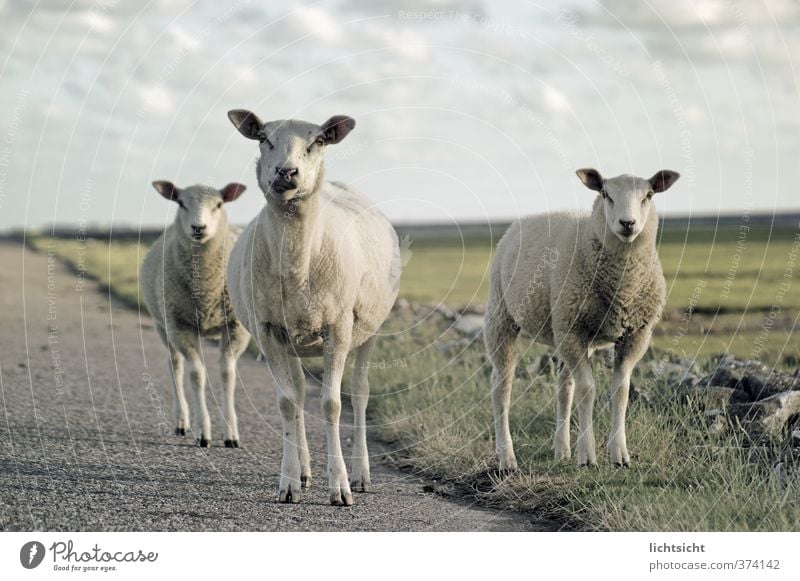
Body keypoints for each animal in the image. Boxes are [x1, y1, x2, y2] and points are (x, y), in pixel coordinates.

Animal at [138, 181, 250, 448]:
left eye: (219, 204)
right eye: (181, 203)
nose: (198, 227)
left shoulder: (236, 327)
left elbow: (227, 374)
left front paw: (231, 435)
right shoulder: (181, 326)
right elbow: (197, 375)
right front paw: (204, 432)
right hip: (163, 325)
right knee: (176, 366)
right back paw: (182, 421)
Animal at [225, 110, 400, 508]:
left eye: (317, 141)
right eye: (264, 138)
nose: (286, 172)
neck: (297, 260)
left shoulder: (338, 328)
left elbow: (332, 405)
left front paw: (340, 486)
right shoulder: (269, 332)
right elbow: (287, 403)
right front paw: (289, 482)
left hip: (369, 329)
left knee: (360, 392)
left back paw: (360, 473)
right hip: (293, 338)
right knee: (301, 392)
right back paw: (304, 471)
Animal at [484, 167, 680, 466]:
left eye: (648, 195)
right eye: (605, 194)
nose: (628, 223)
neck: (623, 287)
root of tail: (522, 221)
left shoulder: (635, 334)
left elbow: (620, 391)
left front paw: (619, 454)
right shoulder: (573, 330)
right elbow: (587, 389)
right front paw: (587, 454)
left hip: (561, 329)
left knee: (564, 386)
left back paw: (561, 449)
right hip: (502, 316)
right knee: (501, 386)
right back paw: (506, 456)